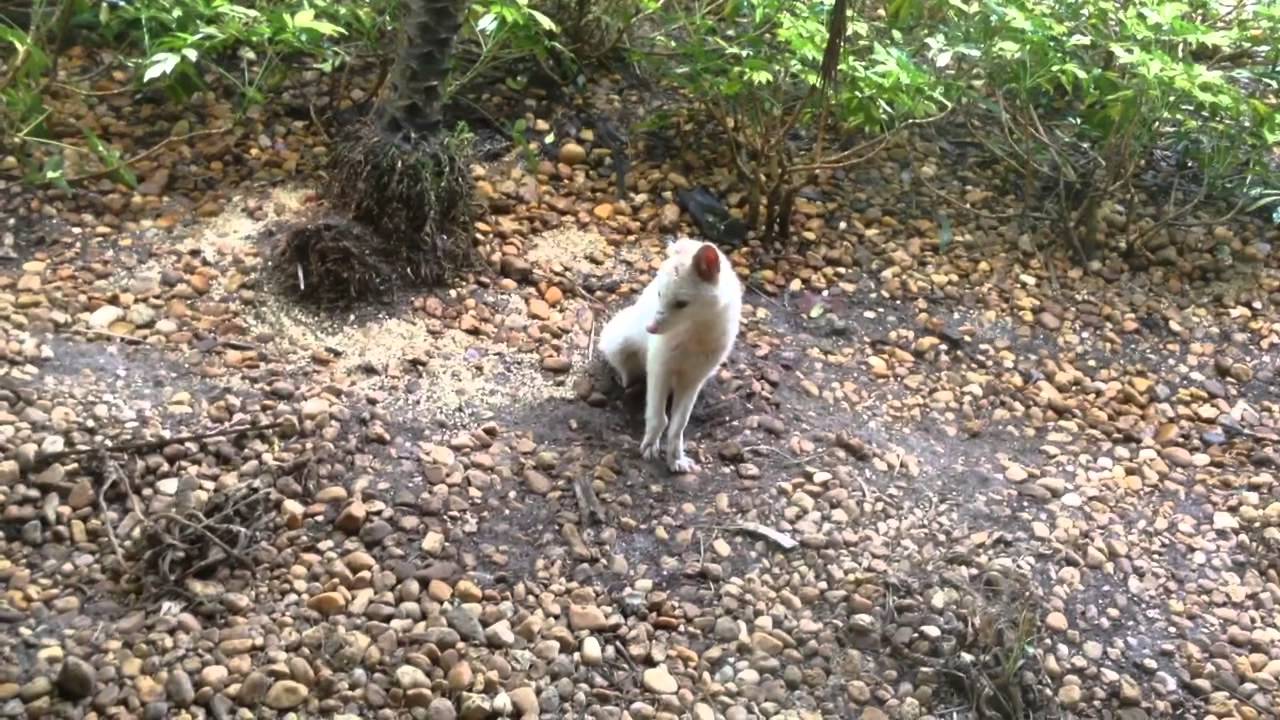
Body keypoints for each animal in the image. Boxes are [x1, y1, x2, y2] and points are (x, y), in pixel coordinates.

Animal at [598, 237, 743, 473]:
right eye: (660, 294)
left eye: (682, 303)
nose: (650, 328)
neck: (696, 334)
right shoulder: (659, 367)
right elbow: (659, 417)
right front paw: (650, 446)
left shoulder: (694, 379)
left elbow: (678, 424)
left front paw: (676, 457)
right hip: (619, 341)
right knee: (625, 369)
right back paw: (626, 381)